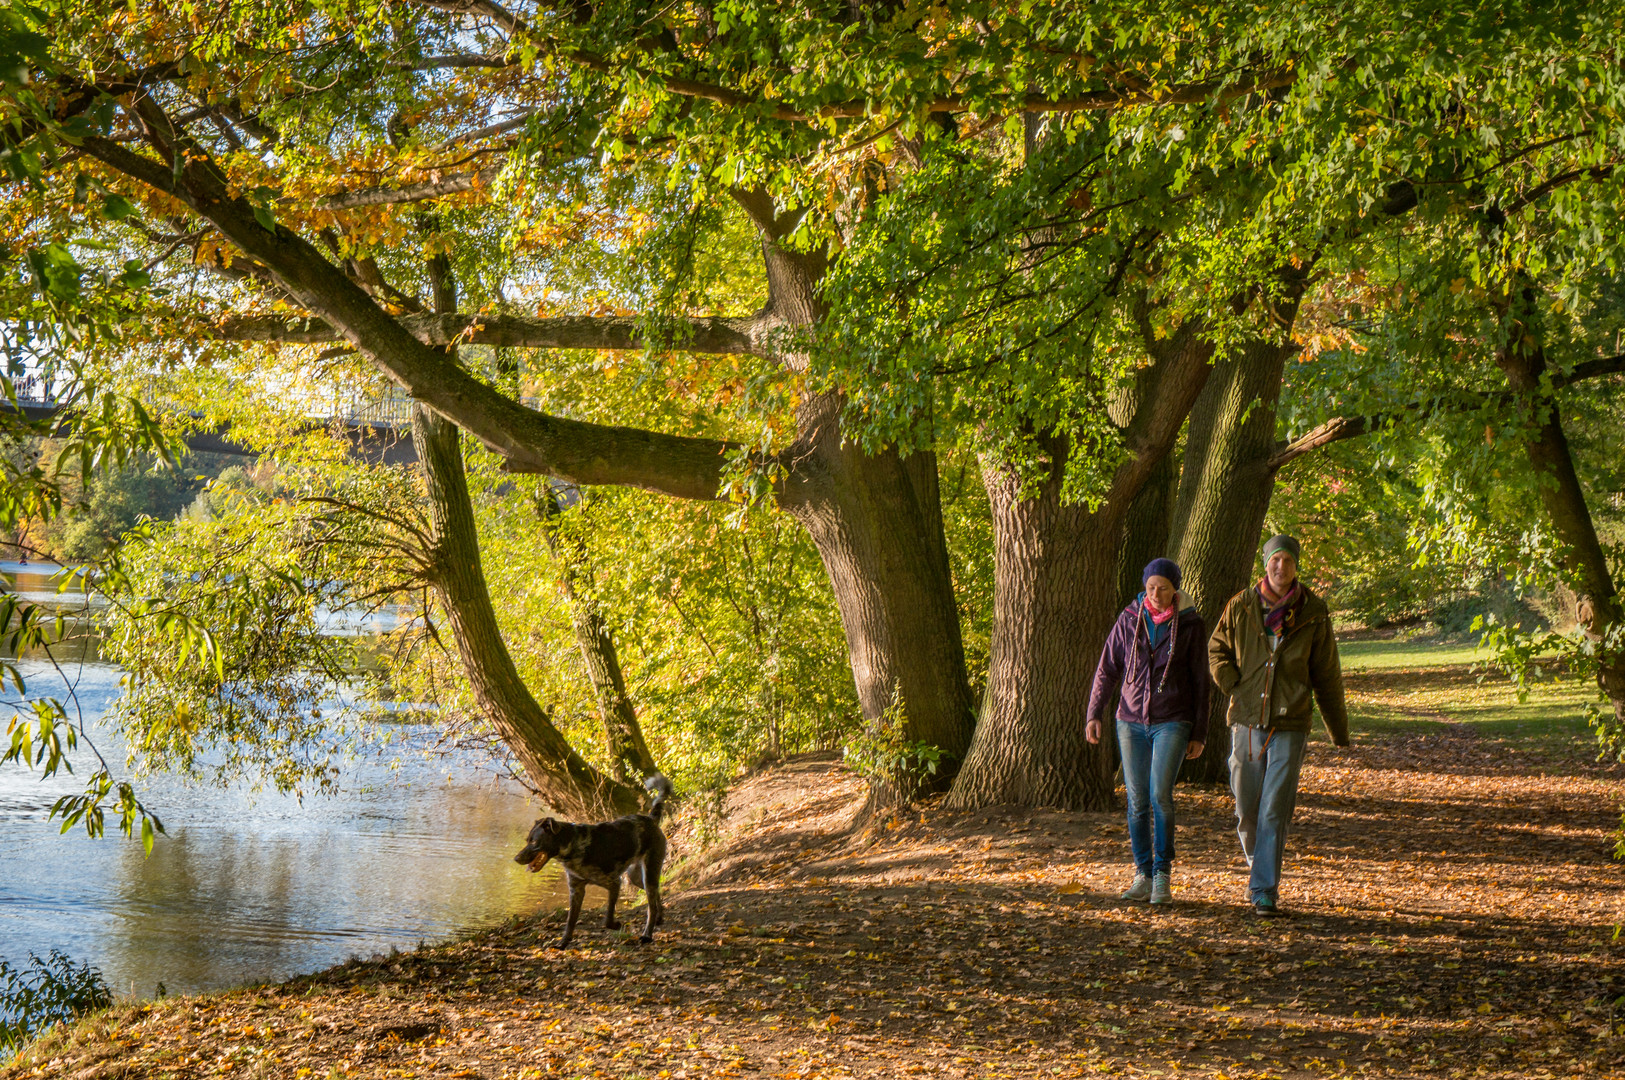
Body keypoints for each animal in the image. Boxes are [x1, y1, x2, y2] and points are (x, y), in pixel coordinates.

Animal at [516, 776, 676, 941]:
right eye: (527, 840)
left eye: (534, 842)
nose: (516, 858)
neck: (573, 844)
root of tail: (651, 819)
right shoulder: (576, 891)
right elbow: (570, 923)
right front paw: (562, 943)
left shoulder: (614, 883)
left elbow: (607, 919)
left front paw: (615, 925)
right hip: (637, 877)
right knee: (657, 893)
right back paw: (659, 918)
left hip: (649, 872)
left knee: (651, 907)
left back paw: (647, 935)